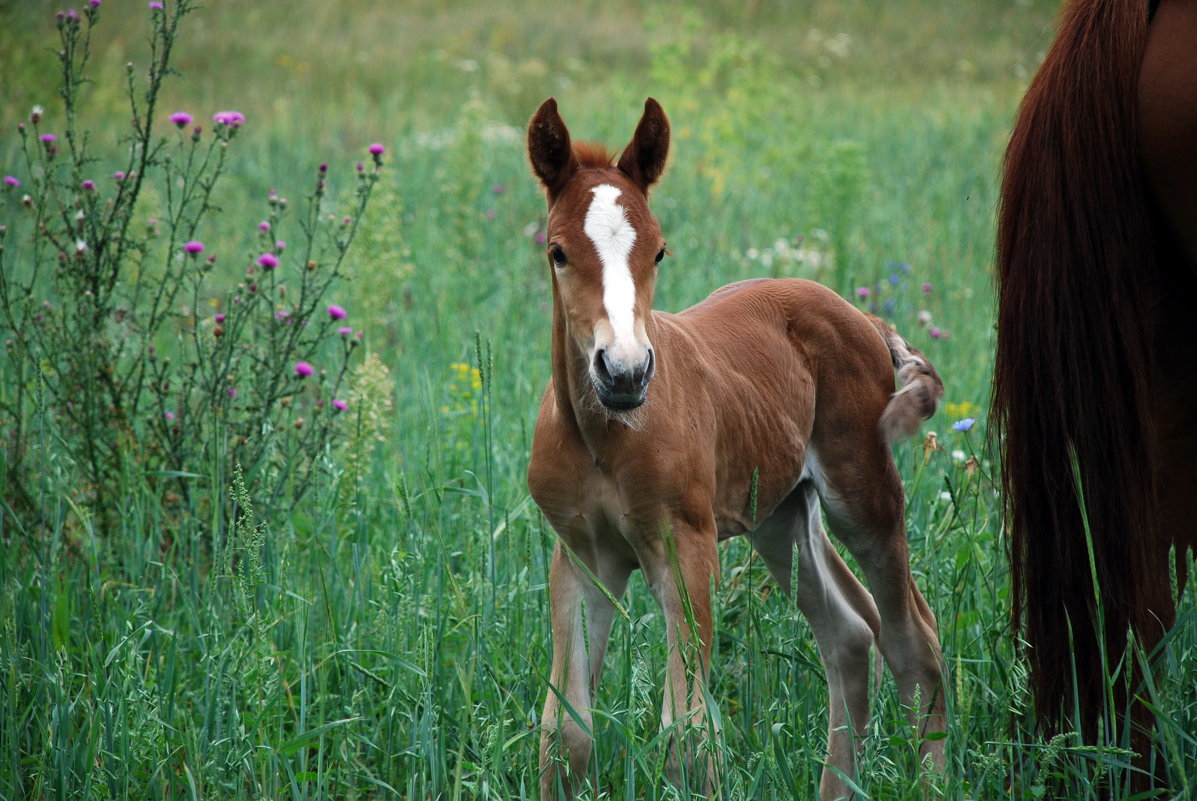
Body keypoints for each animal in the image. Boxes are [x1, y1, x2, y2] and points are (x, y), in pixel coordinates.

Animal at [529, 96, 948, 795]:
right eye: (558, 251)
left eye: (659, 251)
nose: (624, 371)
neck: (603, 439)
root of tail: (865, 317)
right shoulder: (583, 556)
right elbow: (566, 731)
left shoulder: (686, 544)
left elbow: (689, 732)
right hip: (781, 515)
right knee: (849, 633)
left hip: (863, 492)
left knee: (914, 640)